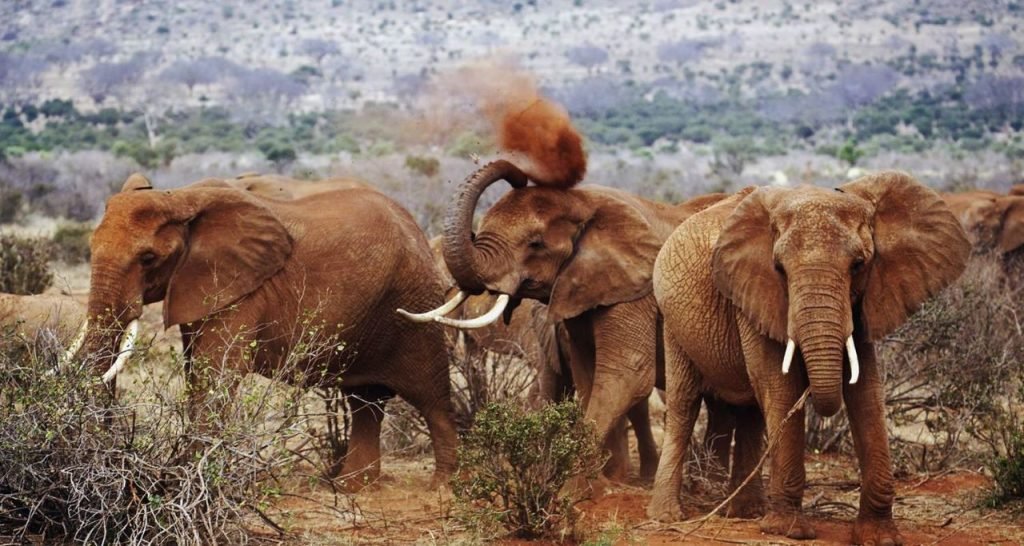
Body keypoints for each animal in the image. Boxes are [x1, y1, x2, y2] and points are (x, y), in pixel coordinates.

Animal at [78, 173, 457, 488]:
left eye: (148, 259)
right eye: (90, 249)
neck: (181, 197)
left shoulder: (244, 290)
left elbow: (215, 373)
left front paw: (190, 482)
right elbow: (196, 374)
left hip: (414, 301)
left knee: (431, 396)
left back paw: (444, 488)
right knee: (365, 401)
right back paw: (352, 488)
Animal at [401, 159, 729, 483]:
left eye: (535, 244)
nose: (520, 174)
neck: (584, 202)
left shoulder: (636, 289)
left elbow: (627, 373)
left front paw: (575, 485)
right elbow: (589, 375)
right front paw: (603, 481)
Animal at [648, 172, 969, 544]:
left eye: (859, 265)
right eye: (779, 268)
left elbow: (867, 392)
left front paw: (879, 537)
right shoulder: (755, 293)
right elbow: (781, 386)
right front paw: (788, 531)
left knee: (751, 411)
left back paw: (746, 512)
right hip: (672, 319)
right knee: (684, 403)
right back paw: (667, 516)